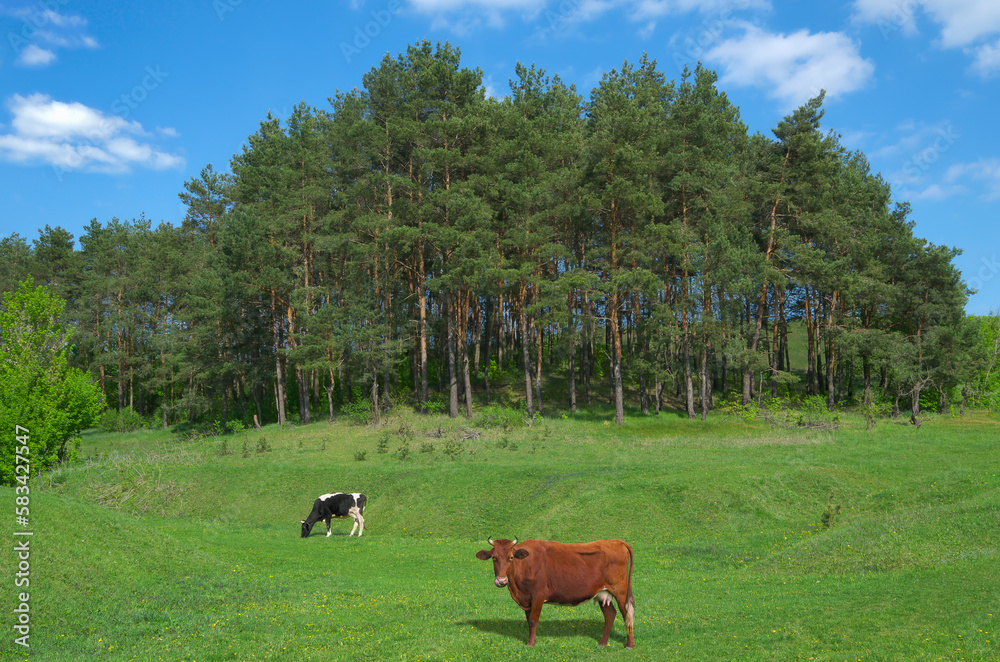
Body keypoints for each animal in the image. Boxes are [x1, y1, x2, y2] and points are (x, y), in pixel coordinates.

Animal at [474, 536, 632, 652]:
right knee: (610, 614)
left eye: (511, 557)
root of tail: (615, 541)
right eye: (493, 557)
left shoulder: (538, 596)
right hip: (603, 593)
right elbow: (529, 620)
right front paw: (532, 640)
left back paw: (629, 645)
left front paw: (531, 644)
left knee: (627, 615)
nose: (501, 580)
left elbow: (533, 620)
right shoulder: (527, 599)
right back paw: (602, 644)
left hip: (620, 591)